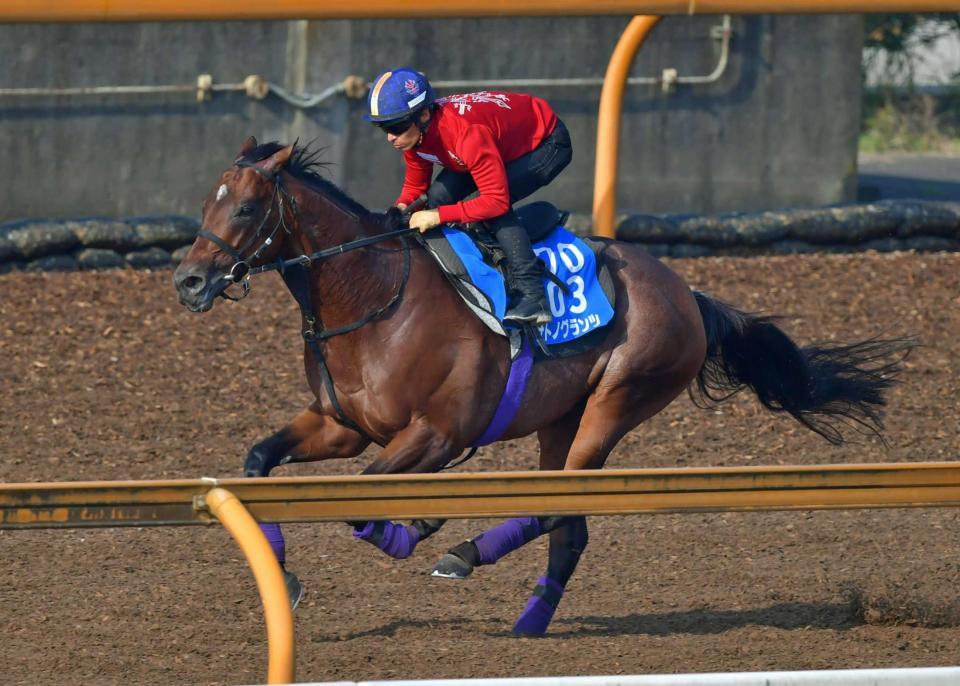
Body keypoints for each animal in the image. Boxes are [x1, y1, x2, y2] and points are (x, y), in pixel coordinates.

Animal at [172, 140, 916, 640]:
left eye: (245, 207)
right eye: (205, 202)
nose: (187, 280)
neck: (375, 296)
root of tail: (687, 292)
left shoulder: (434, 434)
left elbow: (362, 506)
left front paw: (414, 529)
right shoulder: (341, 426)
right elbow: (257, 463)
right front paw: (287, 578)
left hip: (617, 401)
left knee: (561, 505)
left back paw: (462, 554)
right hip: (561, 417)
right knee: (569, 520)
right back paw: (530, 618)